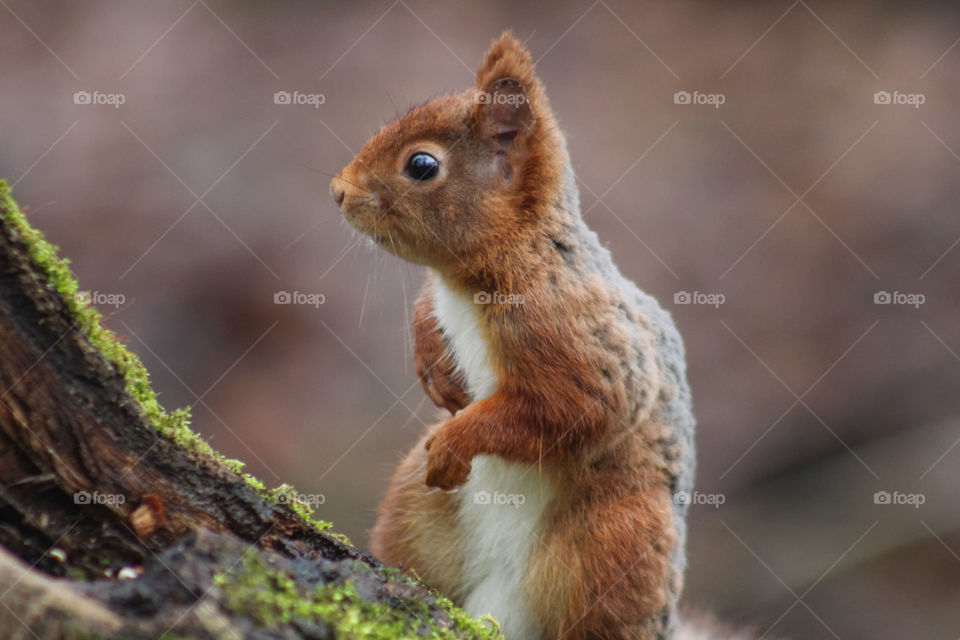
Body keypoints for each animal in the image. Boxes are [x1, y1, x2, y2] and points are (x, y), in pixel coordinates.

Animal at [331, 32, 697, 640]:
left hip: (614, 544)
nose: (337, 191)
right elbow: (424, 311)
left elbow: (567, 410)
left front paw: (456, 439)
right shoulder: (441, 296)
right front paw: (433, 368)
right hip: (414, 505)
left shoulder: (570, 336)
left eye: (422, 165)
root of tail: (499, 606)